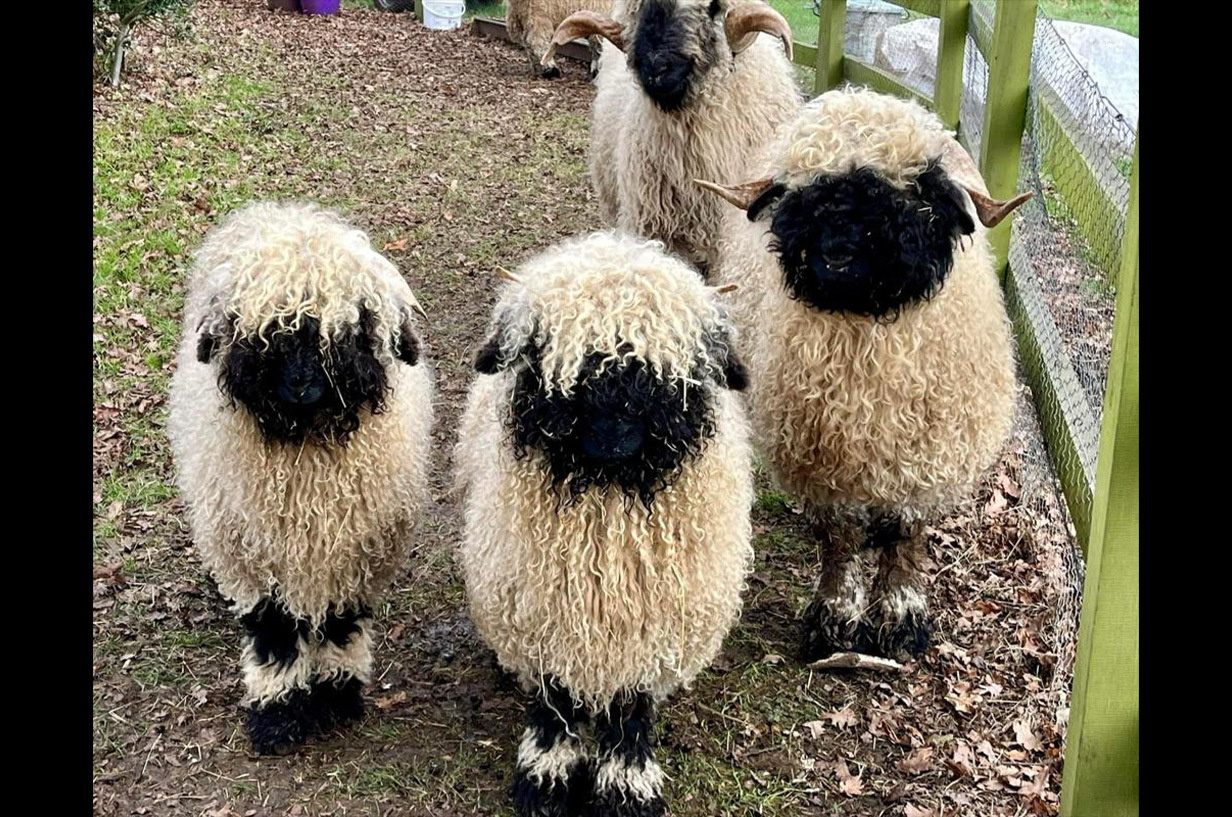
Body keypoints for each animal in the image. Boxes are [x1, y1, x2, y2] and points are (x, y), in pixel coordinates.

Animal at [168, 202, 435, 754]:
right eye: (259, 333)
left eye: (355, 326)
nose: (300, 384)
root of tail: (280, 211)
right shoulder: (251, 555)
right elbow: (273, 634)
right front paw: (279, 713)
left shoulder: (357, 552)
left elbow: (339, 625)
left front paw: (335, 696)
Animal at [454, 232, 753, 817]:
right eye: (545, 355)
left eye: (667, 375)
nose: (612, 437)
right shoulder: (542, 613)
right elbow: (556, 701)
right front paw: (545, 775)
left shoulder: (652, 625)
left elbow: (630, 710)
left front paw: (626, 783)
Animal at [695, 88, 1031, 663]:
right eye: (802, 191)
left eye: (909, 194)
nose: (836, 253)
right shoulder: (824, 460)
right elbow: (841, 538)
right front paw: (835, 620)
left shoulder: (928, 457)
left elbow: (906, 534)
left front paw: (900, 618)